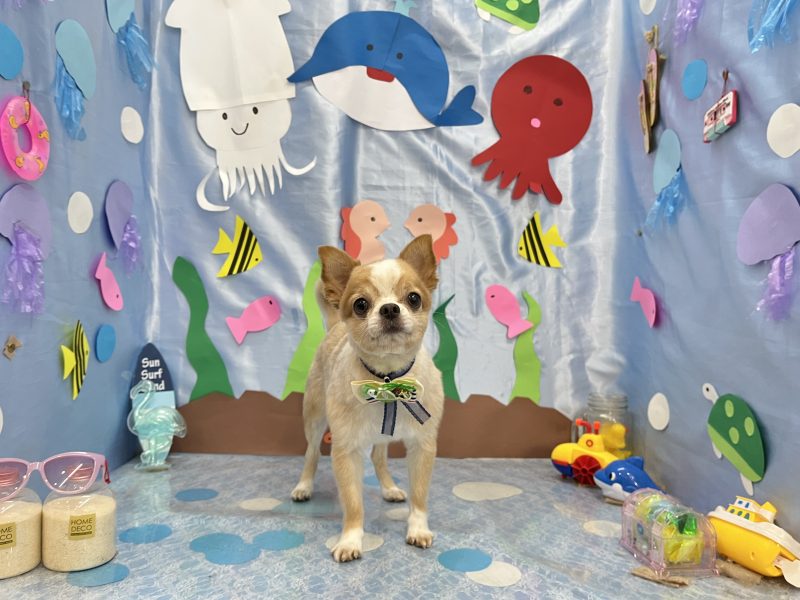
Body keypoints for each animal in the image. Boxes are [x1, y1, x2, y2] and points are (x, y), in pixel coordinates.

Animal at [291, 234, 444, 562]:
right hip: (314, 417)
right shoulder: (346, 451)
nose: (389, 309)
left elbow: (420, 495)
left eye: (414, 298)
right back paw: (304, 486)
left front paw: (418, 528)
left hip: (381, 436)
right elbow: (353, 503)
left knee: (378, 456)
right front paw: (350, 540)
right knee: (311, 453)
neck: (387, 379)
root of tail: (335, 325)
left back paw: (389, 489)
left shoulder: (422, 446)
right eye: (361, 304)